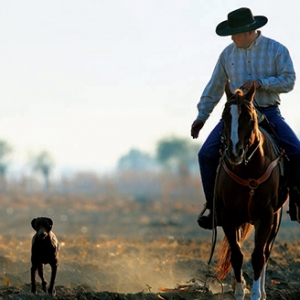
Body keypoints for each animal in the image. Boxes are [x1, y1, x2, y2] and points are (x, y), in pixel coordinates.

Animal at [213, 82, 288, 300]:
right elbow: (237, 255)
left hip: (275, 219)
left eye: (250, 117)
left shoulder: (265, 215)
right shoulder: (228, 216)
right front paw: (239, 292)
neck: (248, 171)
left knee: (266, 252)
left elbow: (258, 256)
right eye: (224, 116)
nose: (234, 153)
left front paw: (255, 294)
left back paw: (262, 292)